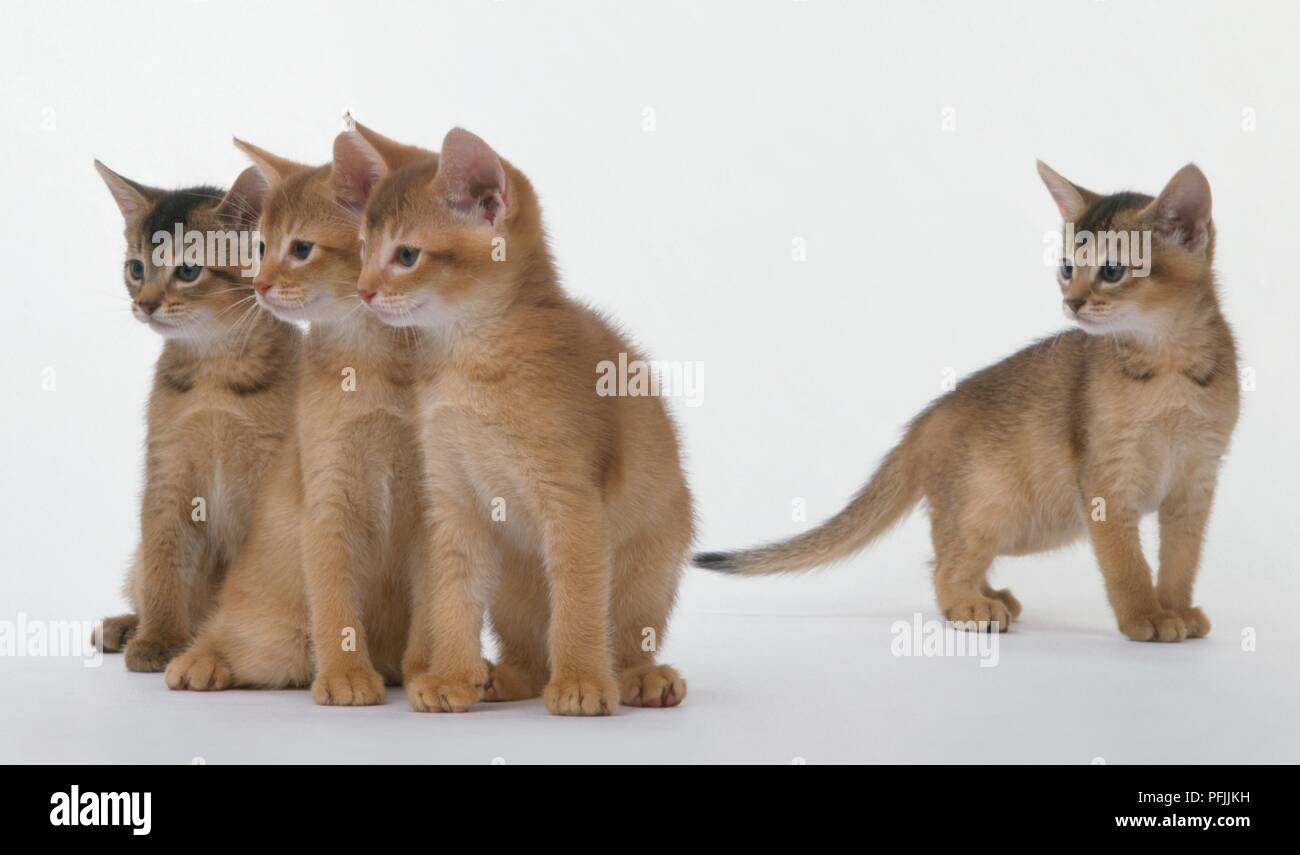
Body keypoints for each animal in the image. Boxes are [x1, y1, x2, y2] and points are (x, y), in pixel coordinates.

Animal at [92, 159, 299, 665]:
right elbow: (163, 563)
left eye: (187, 270)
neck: (213, 376)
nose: (144, 304)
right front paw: (158, 639)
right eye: (135, 268)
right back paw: (126, 626)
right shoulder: (168, 470)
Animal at [162, 127, 431, 701]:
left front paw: (432, 670)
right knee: (225, 631)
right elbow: (335, 603)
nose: (259, 285)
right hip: (277, 639)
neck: (370, 368)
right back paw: (198, 661)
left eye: (301, 249)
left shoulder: (434, 504)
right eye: (260, 248)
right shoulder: (326, 498)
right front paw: (346, 674)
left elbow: (438, 604)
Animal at [351, 126, 696, 712]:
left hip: (649, 565)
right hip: (513, 581)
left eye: (407, 255)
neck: (469, 361)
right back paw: (501, 678)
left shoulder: (574, 500)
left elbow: (578, 600)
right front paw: (449, 677)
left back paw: (639, 677)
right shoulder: (453, 500)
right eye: (363, 251)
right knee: (530, 654)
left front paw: (581, 681)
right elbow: (452, 595)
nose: (364, 291)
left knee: (629, 632)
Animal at [696, 161, 1232, 639]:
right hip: (989, 507)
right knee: (942, 565)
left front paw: (1177, 610)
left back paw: (991, 596)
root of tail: (922, 423)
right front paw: (1145, 617)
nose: (1072, 301)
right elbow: (1126, 563)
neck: (1169, 368)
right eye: (1066, 268)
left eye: (1114, 270)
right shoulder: (1106, 479)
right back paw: (972, 607)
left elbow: (1182, 559)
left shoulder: (1196, 482)